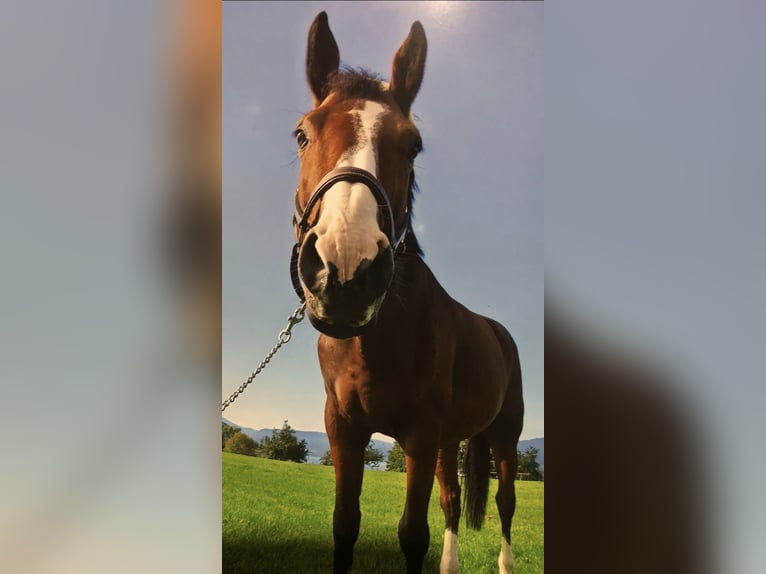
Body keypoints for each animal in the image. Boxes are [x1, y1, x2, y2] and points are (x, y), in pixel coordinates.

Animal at [292, 11, 524, 572]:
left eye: (413, 144)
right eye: (302, 135)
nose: (345, 266)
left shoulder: (421, 432)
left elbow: (412, 533)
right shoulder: (345, 429)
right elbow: (345, 524)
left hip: (504, 437)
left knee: (504, 501)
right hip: (450, 442)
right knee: (454, 500)